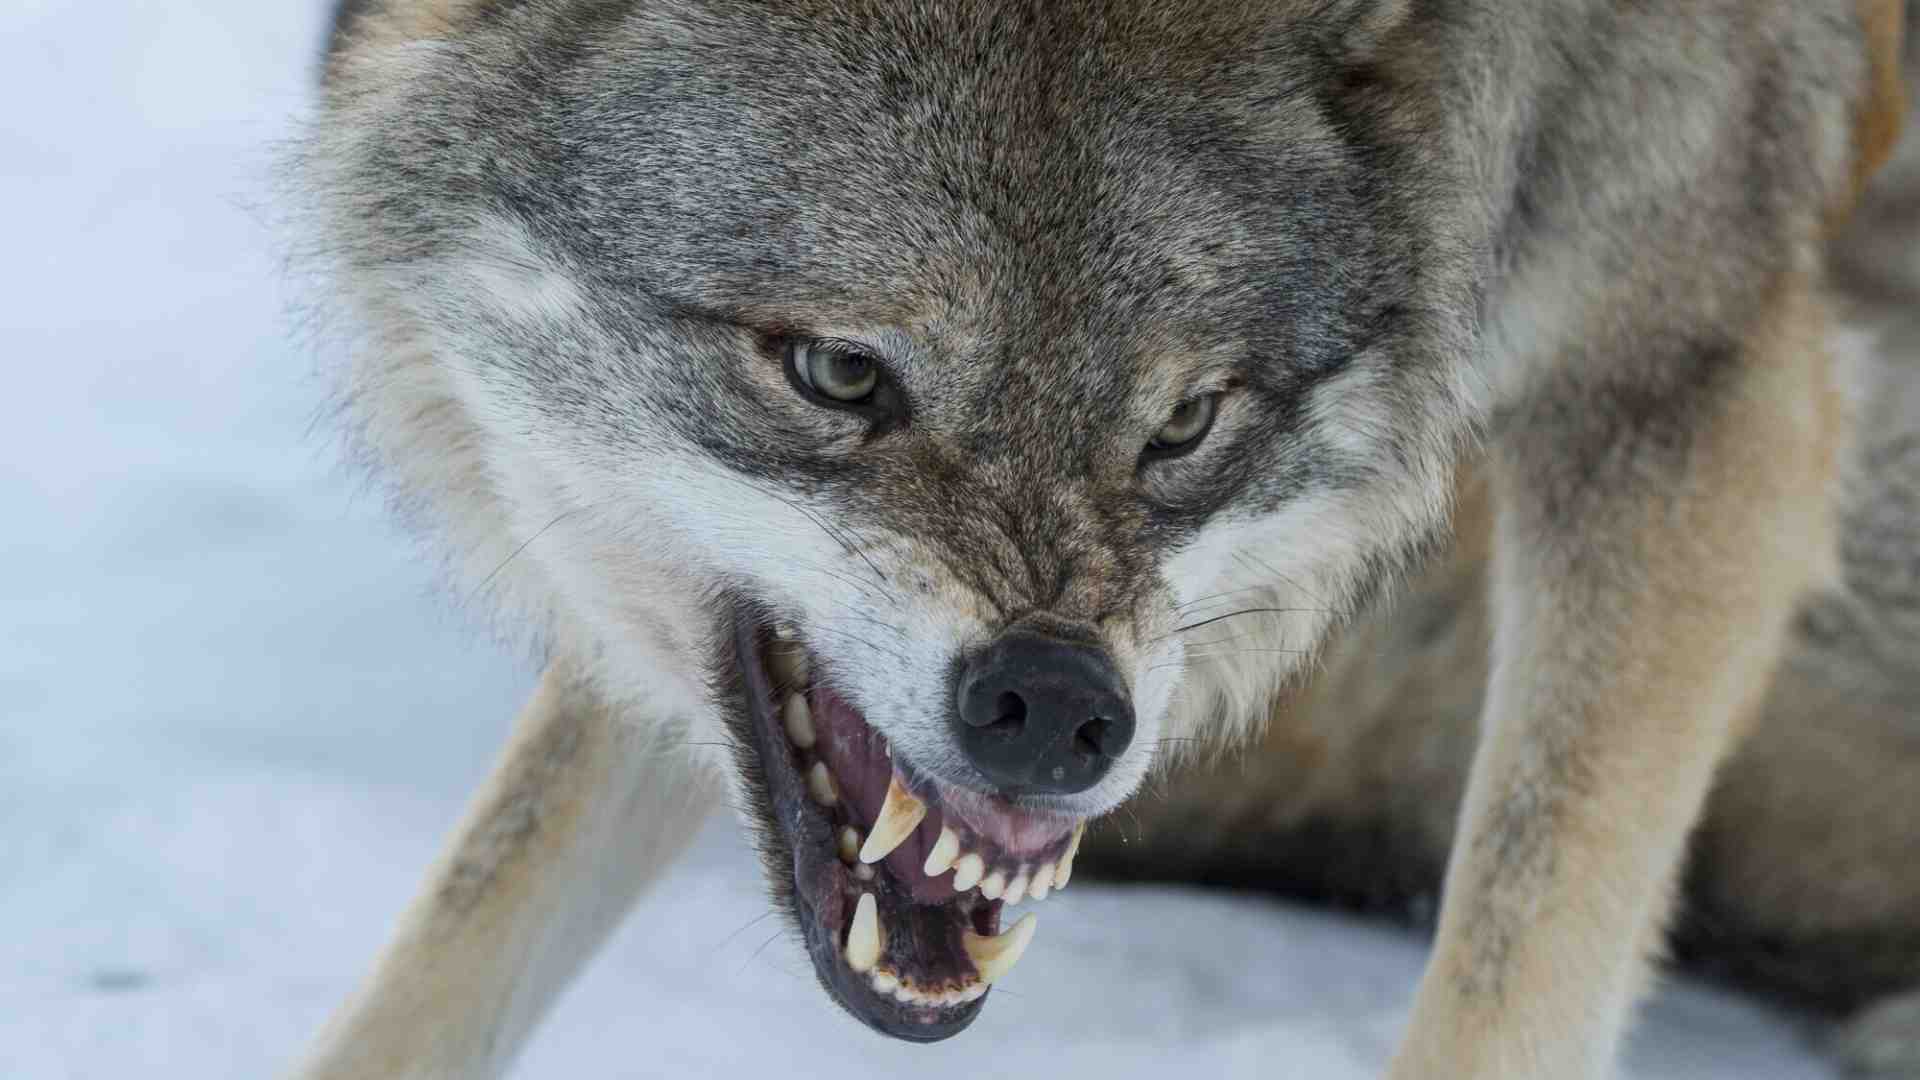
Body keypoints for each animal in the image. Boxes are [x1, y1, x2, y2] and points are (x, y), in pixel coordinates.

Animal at [288, 1, 1914, 1076]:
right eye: (840, 372)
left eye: (1185, 421)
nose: (1057, 705)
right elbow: (471, 920)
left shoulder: (1691, 373)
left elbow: (1521, 960)